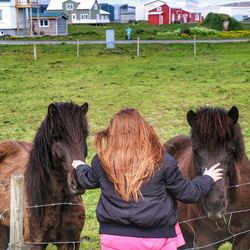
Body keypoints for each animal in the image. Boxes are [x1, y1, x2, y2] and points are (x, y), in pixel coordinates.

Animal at [0, 102, 89, 250]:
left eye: (84, 136)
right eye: (57, 137)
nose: (78, 182)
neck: (58, 203)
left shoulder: (70, 242)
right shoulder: (33, 244)